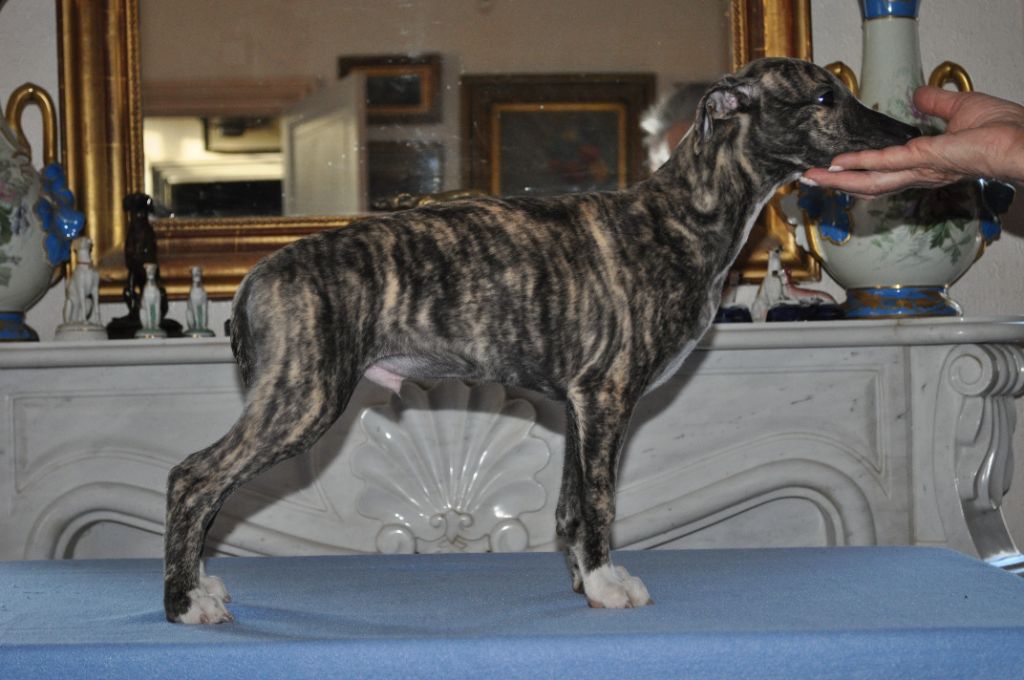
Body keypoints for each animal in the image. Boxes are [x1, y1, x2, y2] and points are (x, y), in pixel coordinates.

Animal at [164, 57, 919, 623]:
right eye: (824, 96)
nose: (910, 131)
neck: (682, 214)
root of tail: (257, 273)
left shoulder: (579, 404)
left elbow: (570, 508)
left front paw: (586, 581)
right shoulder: (607, 396)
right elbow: (601, 504)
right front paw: (611, 586)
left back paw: (200, 586)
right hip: (304, 397)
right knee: (195, 478)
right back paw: (185, 603)